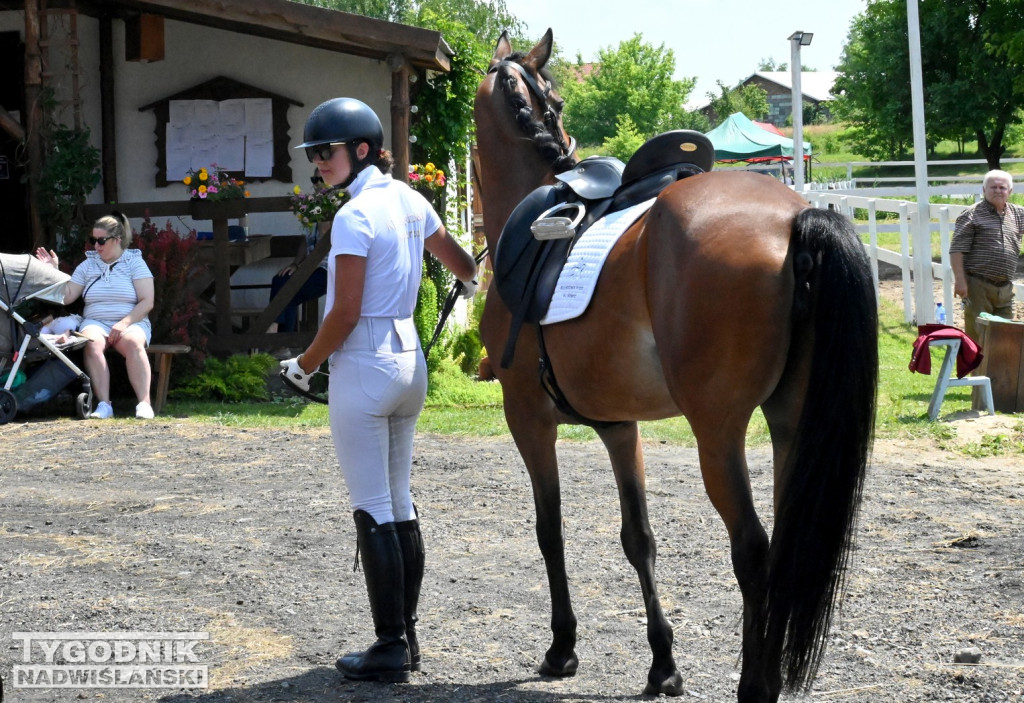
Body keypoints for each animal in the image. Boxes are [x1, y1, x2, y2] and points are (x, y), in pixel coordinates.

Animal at [473, 28, 880, 703]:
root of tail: (796, 216)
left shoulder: (526, 416)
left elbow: (549, 530)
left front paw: (562, 647)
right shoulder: (619, 426)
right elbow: (638, 538)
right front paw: (662, 663)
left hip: (717, 432)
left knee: (753, 551)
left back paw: (756, 685)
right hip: (792, 422)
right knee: (784, 543)